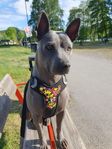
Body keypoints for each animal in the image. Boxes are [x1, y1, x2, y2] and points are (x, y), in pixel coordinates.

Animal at [20, 11, 80, 149]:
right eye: (49, 47)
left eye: (69, 48)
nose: (66, 65)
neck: (51, 83)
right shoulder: (36, 114)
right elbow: (40, 132)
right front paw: (42, 144)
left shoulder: (62, 111)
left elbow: (59, 128)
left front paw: (61, 139)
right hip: (27, 113)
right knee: (32, 121)